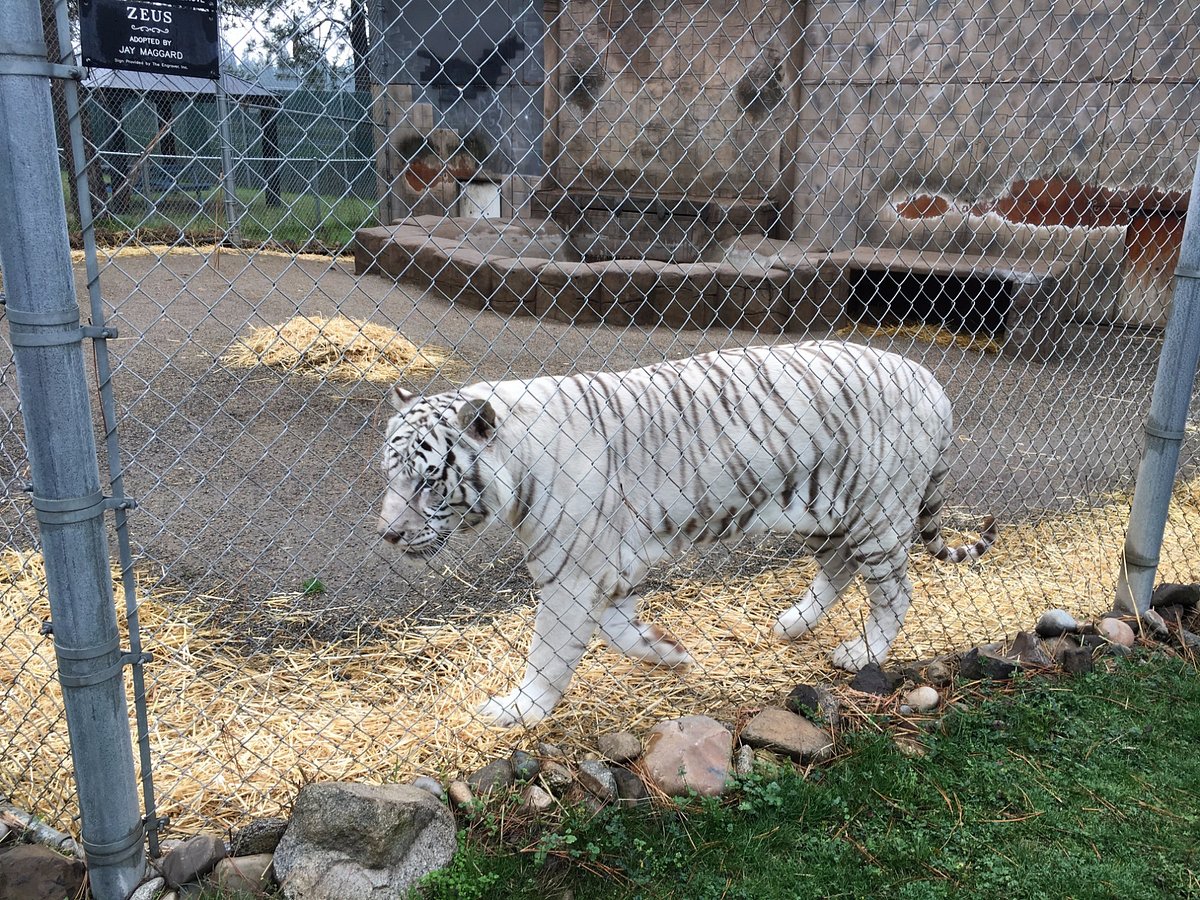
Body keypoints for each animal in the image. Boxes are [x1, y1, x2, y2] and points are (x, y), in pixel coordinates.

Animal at [376, 340, 993, 729]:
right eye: (389, 474)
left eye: (428, 480)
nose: (387, 535)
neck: (519, 463)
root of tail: (933, 383)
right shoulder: (607, 567)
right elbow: (619, 630)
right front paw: (670, 653)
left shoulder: (572, 571)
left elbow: (549, 650)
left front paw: (518, 711)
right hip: (823, 510)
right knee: (838, 568)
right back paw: (791, 624)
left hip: (879, 514)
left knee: (895, 591)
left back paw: (860, 651)